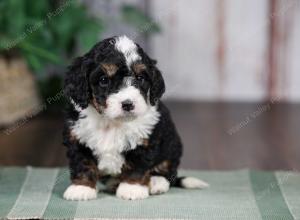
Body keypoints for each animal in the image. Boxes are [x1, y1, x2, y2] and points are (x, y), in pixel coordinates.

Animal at [62, 34, 209, 201]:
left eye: (140, 78)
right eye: (104, 80)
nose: (128, 104)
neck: (111, 122)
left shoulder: (145, 139)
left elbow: (137, 165)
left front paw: (132, 188)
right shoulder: (77, 136)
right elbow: (82, 162)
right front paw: (81, 188)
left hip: (172, 146)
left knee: (168, 170)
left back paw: (156, 182)